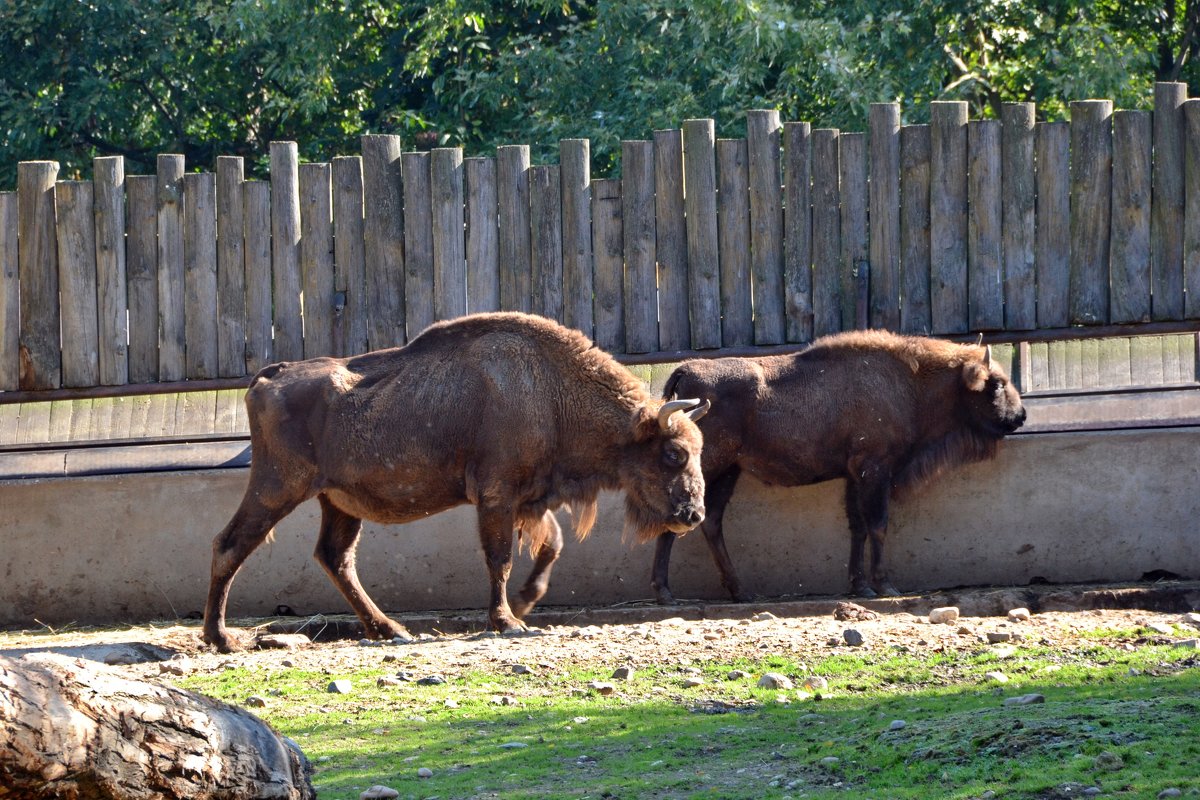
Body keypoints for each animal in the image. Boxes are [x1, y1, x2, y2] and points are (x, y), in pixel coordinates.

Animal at [204, 309, 710, 652]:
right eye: (673, 453)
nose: (693, 515)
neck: (550, 391)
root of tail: (270, 376)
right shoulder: (497, 497)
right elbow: (499, 558)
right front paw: (507, 621)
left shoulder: (530, 499)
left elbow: (551, 546)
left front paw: (524, 606)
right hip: (277, 488)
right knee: (231, 544)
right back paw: (221, 638)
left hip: (338, 503)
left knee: (336, 557)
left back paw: (391, 630)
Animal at [652, 328, 1027, 604]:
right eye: (995, 384)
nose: (1020, 416)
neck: (910, 383)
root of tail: (685, 370)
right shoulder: (875, 469)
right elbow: (878, 525)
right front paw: (884, 585)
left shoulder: (854, 475)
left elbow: (857, 527)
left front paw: (859, 586)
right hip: (711, 465)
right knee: (682, 516)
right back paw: (665, 593)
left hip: (729, 470)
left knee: (712, 520)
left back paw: (740, 592)